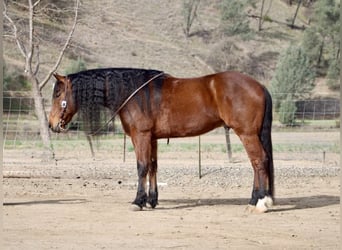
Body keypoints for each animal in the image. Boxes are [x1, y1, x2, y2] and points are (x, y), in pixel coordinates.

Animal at [48, 68, 274, 213]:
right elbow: (153, 166)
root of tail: (260, 86)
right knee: (258, 163)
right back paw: (256, 200)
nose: (52, 124)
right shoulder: (152, 138)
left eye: (58, 93)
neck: (133, 93)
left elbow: (142, 167)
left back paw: (260, 202)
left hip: (246, 134)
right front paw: (152, 200)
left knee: (259, 161)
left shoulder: (141, 136)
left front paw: (138, 201)